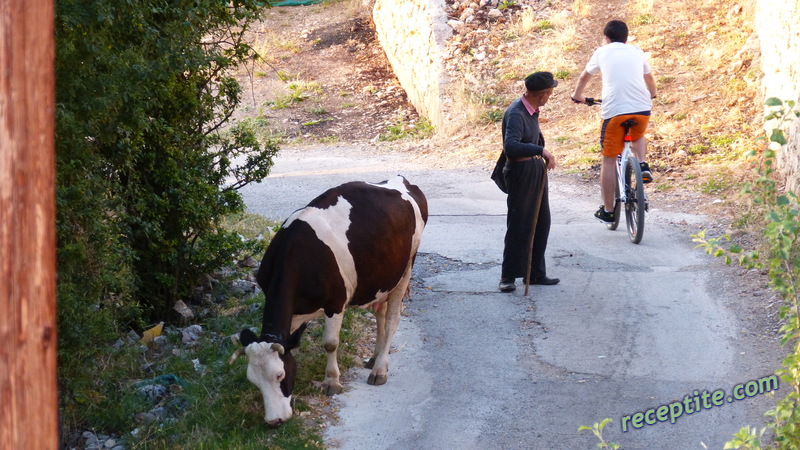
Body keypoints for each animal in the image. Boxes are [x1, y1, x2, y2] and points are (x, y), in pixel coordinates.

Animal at [228, 176, 428, 426]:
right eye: (253, 381)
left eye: (279, 375)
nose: (275, 421)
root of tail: (401, 180)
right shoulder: (294, 313)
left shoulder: (336, 303)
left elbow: (330, 343)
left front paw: (331, 382)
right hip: (381, 278)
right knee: (380, 315)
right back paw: (375, 358)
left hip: (406, 270)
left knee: (392, 319)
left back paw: (379, 370)